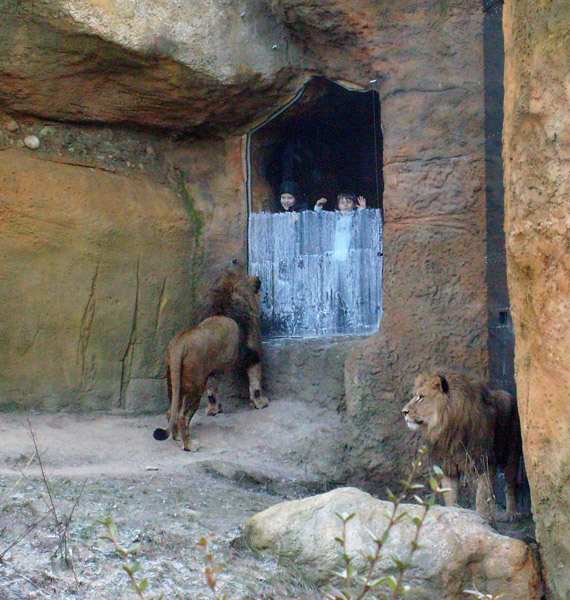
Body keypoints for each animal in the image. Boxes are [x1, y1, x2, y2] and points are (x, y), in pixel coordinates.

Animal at [153, 260, 268, 452]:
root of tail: (179, 344)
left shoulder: (214, 369)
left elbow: (213, 390)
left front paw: (214, 410)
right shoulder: (252, 352)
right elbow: (255, 382)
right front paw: (261, 403)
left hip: (173, 383)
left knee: (171, 412)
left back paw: (176, 437)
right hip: (195, 385)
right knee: (183, 416)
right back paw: (190, 445)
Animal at [400, 370, 520, 520]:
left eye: (421, 397)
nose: (404, 412)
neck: (449, 429)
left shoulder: (484, 462)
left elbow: (483, 498)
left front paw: (484, 520)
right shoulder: (447, 466)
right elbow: (450, 498)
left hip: (511, 455)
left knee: (511, 484)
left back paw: (511, 513)